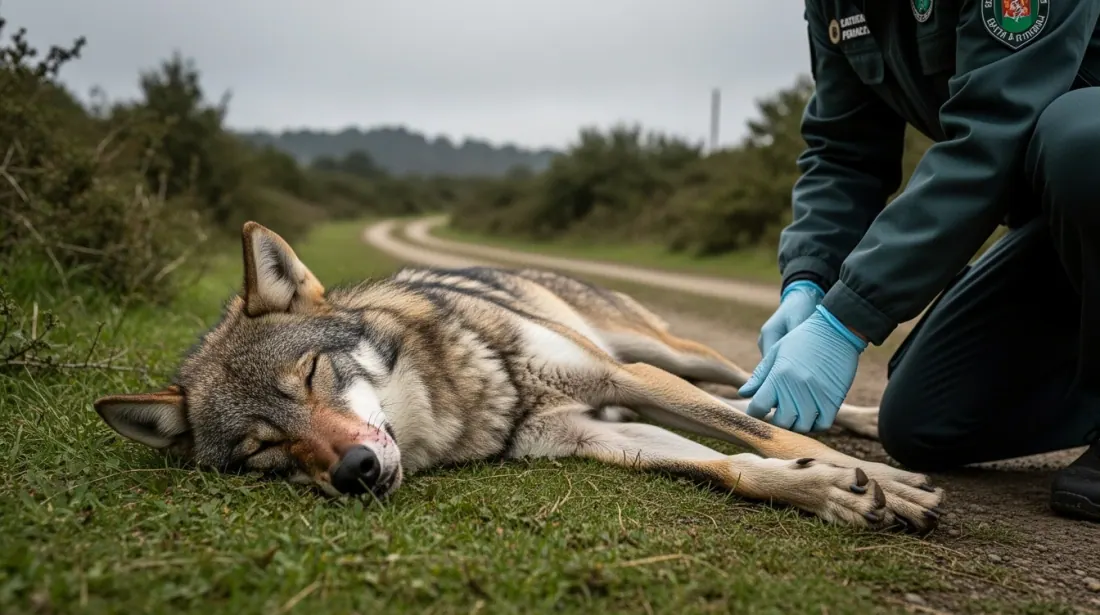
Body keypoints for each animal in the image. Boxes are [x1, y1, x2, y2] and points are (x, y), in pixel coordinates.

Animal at [93, 222, 944, 531]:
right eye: (264, 450)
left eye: (309, 374)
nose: (354, 469)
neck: (466, 402)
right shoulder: (595, 435)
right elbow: (737, 465)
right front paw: (830, 491)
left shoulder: (626, 381)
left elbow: (767, 435)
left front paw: (881, 482)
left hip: (663, 354)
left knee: (754, 386)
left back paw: (860, 420)